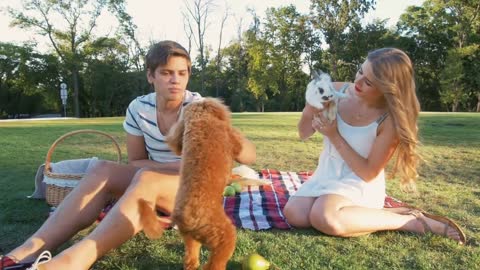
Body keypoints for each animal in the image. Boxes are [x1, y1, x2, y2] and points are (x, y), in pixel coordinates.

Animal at [139, 98, 244, 268]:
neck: (201, 122)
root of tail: (187, 218)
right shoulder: (229, 138)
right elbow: (237, 145)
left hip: (190, 240)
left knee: (191, 261)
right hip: (224, 238)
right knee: (214, 264)